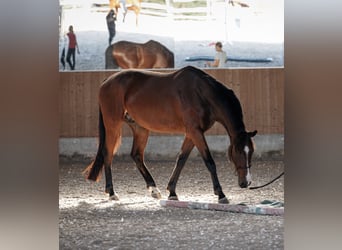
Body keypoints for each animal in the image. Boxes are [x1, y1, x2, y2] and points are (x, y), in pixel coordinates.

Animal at [84, 65, 256, 204]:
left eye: (251, 152)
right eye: (238, 152)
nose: (246, 183)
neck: (201, 93)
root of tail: (107, 81)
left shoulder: (192, 133)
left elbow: (181, 159)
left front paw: (172, 192)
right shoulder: (195, 132)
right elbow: (209, 162)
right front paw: (221, 194)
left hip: (141, 129)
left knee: (137, 155)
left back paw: (154, 189)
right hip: (113, 124)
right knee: (108, 153)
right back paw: (111, 192)